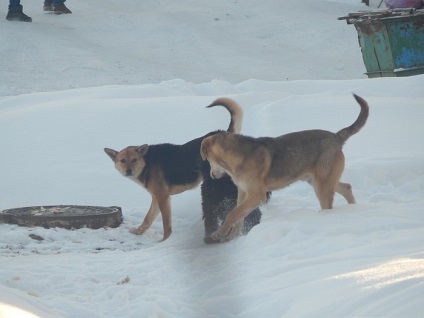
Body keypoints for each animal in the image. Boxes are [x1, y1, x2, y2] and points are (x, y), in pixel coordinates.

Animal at [103, 97, 262, 241]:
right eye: (122, 161)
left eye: (134, 160)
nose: (128, 171)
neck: (147, 162)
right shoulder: (156, 198)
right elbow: (147, 219)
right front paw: (139, 231)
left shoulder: (163, 198)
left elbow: (166, 225)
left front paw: (164, 241)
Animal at [200, 94, 370, 243]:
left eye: (207, 159)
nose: (212, 176)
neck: (237, 157)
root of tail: (336, 137)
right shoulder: (243, 193)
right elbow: (238, 216)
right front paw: (231, 236)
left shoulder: (256, 195)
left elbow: (233, 214)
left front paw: (218, 234)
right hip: (320, 180)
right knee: (347, 187)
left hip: (322, 185)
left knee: (331, 202)